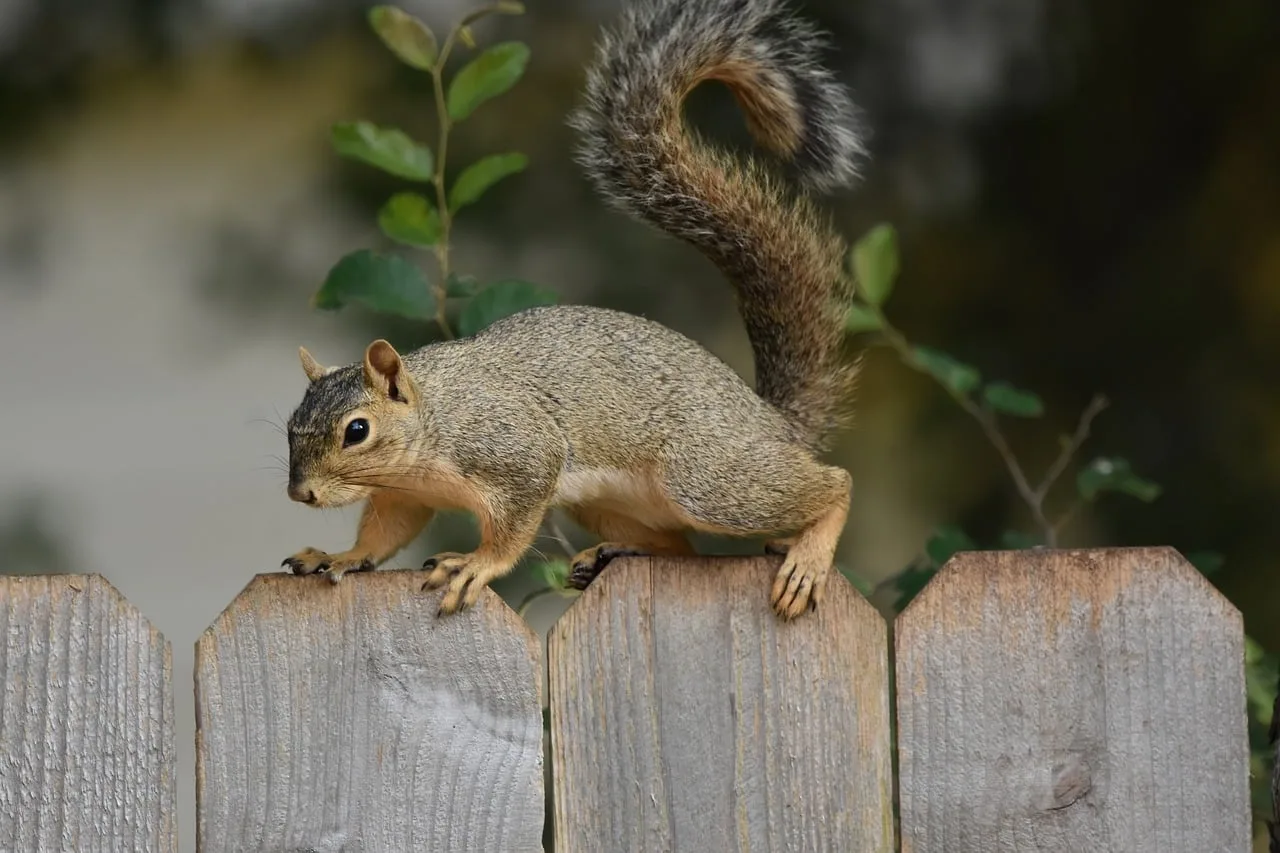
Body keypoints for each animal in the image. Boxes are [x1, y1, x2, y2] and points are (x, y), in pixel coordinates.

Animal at [281, 0, 867, 620]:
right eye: (292, 425)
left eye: (357, 430)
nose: (301, 493)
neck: (433, 424)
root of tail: (770, 420)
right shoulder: (404, 495)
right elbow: (384, 534)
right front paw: (340, 556)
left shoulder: (517, 455)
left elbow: (511, 528)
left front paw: (475, 564)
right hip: (607, 503)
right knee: (681, 549)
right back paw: (614, 552)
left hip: (707, 476)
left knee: (832, 484)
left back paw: (807, 555)